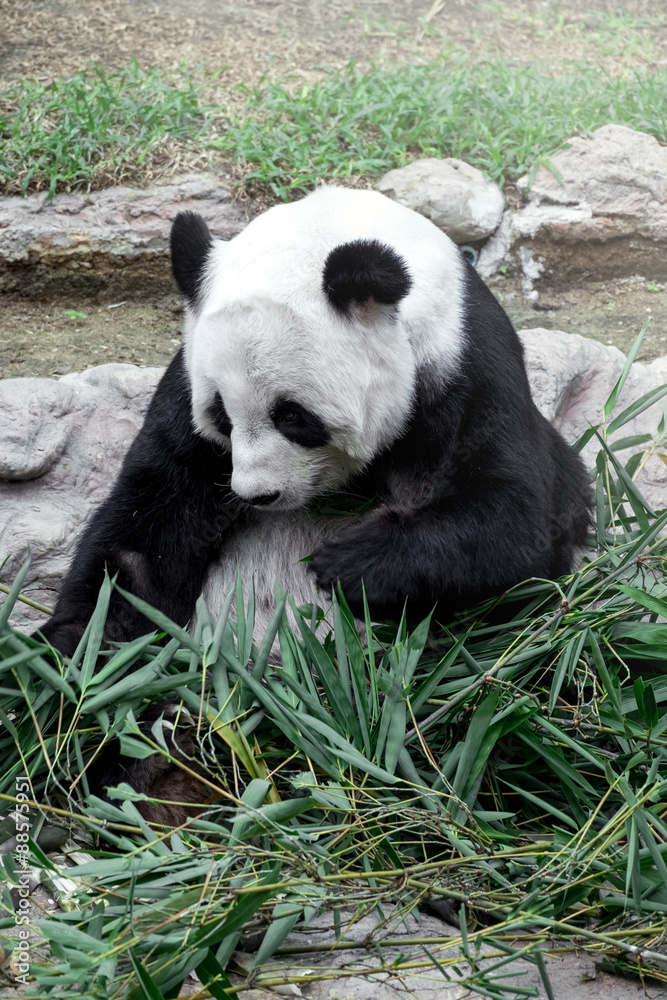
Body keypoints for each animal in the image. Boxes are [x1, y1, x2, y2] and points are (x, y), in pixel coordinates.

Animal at [39, 184, 590, 671]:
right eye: (221, 416)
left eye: (292, 416)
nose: (257, 494)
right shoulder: (186, 377)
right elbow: (148, 525)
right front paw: (72, 648)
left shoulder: (465, 365)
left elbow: (518, 522)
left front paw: (347, 561)